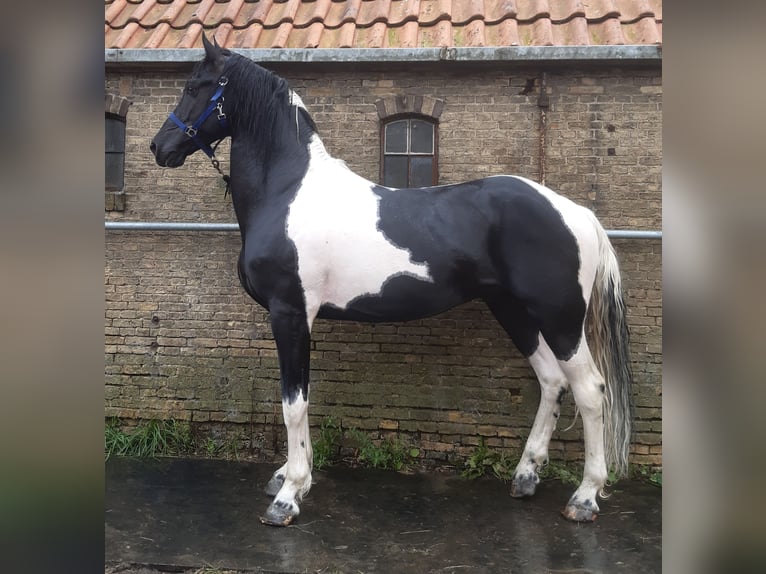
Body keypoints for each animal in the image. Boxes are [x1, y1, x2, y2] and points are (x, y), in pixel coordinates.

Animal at [150, 35, 633, 527]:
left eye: (195, 86)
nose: (159, 147)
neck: (287, 193)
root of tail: (577, 213)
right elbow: (296, 398)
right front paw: (289, 474)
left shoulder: (290, 313)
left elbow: (293, 402)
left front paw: (288, 494)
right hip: (514, 310)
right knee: (552, 381)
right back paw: (525, 476)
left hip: (560, 319)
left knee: (590, 390)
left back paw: (585, 496)